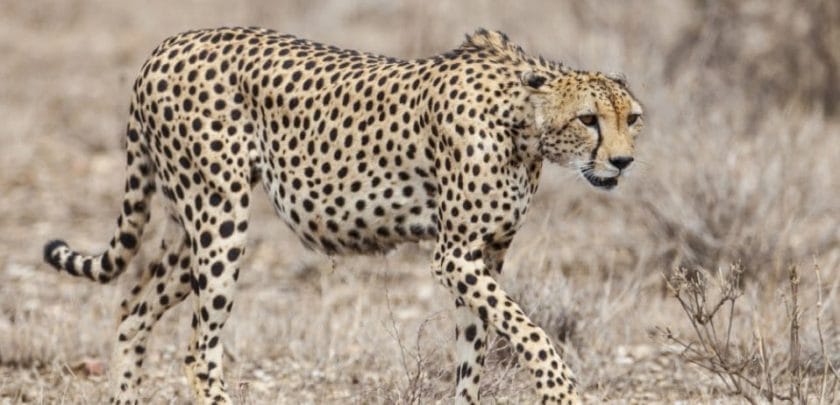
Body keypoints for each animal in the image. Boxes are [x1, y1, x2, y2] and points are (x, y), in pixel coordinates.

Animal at [42, 26, 644, 402]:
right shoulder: (454, 257)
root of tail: (165, 46)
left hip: (185, 224)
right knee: (197, 352)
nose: (623, 162)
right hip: (220, 216)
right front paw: (560, 389)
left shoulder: (483, 259)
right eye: (589, 119)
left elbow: (474, 353)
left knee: (132, 311)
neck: (523, 122)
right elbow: (530, 331)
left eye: (632, 118)